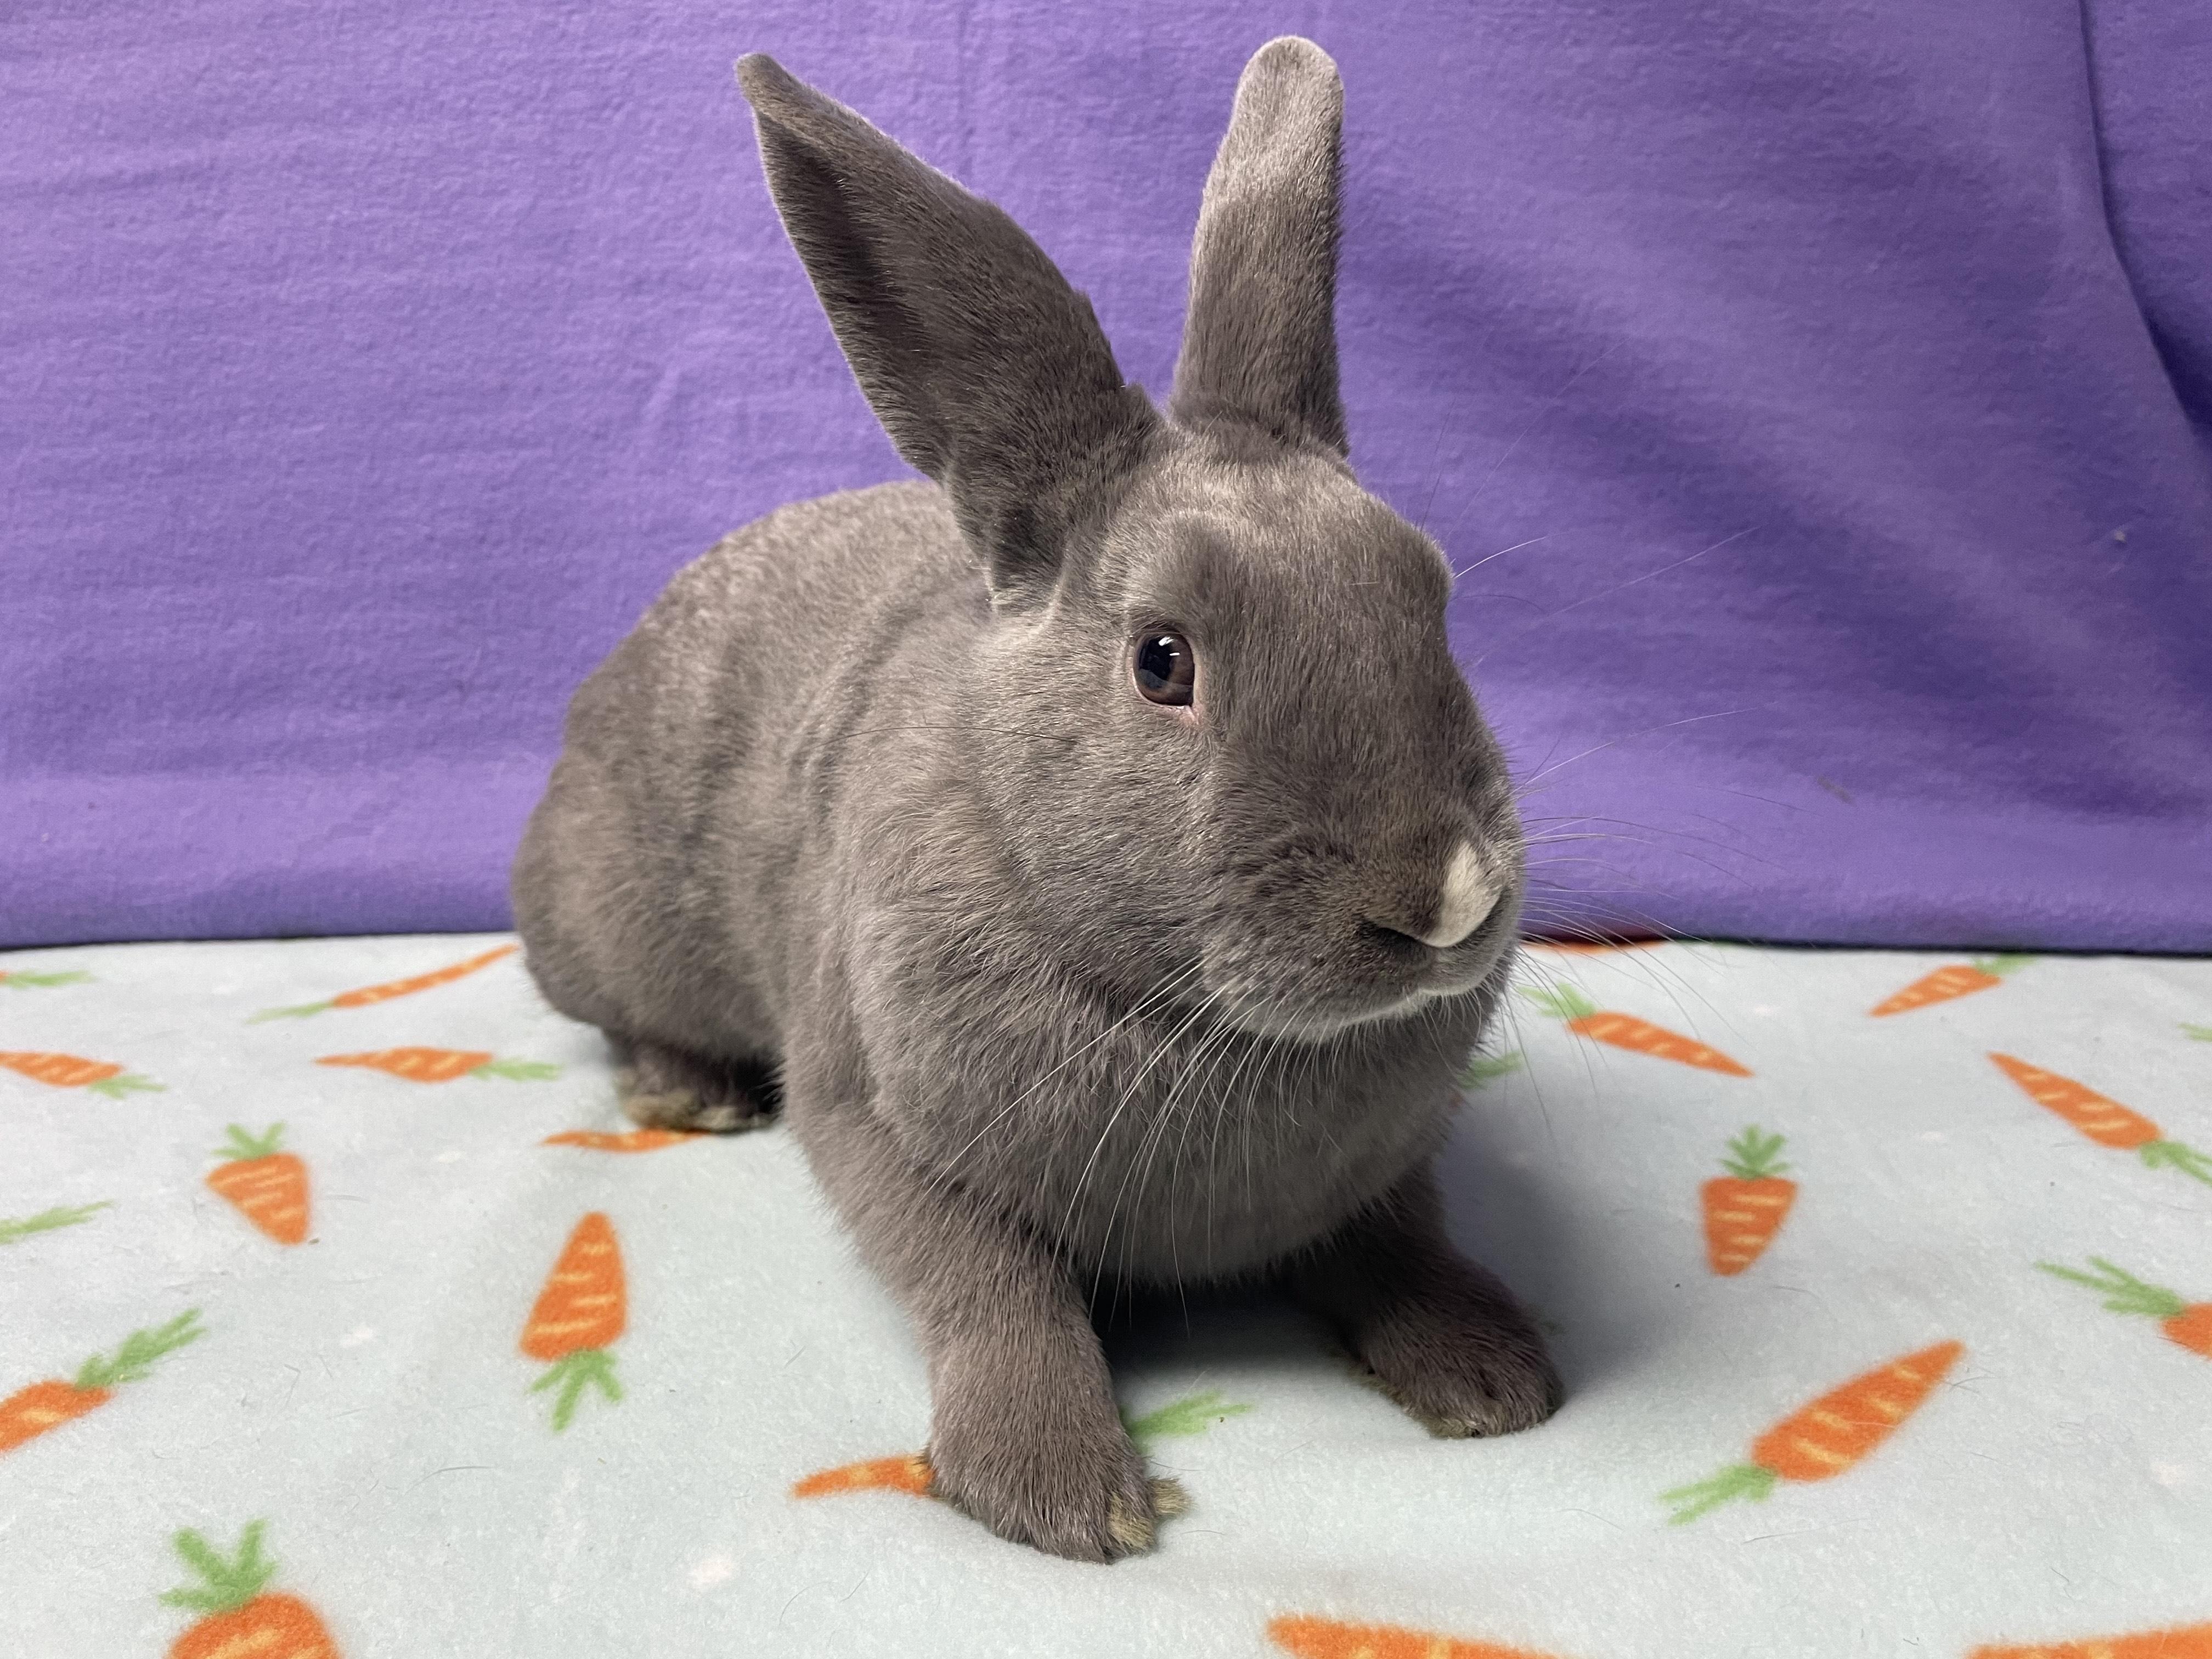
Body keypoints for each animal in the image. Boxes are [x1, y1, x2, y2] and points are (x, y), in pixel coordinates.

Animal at [510, 37, 1560, 1563]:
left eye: (1430, 599)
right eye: (1163, 661)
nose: (1444, 899)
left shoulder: (1381, 1172)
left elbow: (1403, 1238)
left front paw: (1493, 1378)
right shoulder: (876, 1122)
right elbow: (995, 1287)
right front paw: (1062, 1493)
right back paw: (684, 1094)